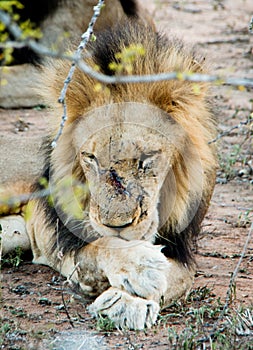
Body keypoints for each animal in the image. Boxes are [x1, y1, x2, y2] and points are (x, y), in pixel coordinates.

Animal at [0, 19, 217, 330]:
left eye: (146, 158)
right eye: (90, 158)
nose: (118, 225)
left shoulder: (182, 249)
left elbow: (179, 278)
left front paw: (127, 303)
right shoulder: (70, 245)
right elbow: (103, 246)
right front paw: (139, 267)